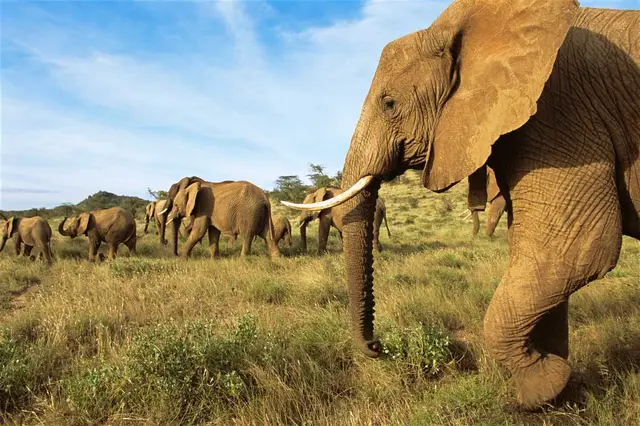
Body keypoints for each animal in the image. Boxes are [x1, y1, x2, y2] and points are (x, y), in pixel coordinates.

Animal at [282, 0, 639, 410]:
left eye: (390, 103)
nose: (378, 346)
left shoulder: (560, 111)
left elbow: (572, 251)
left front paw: (536, 388)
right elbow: (537, 256)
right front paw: (555, 384)